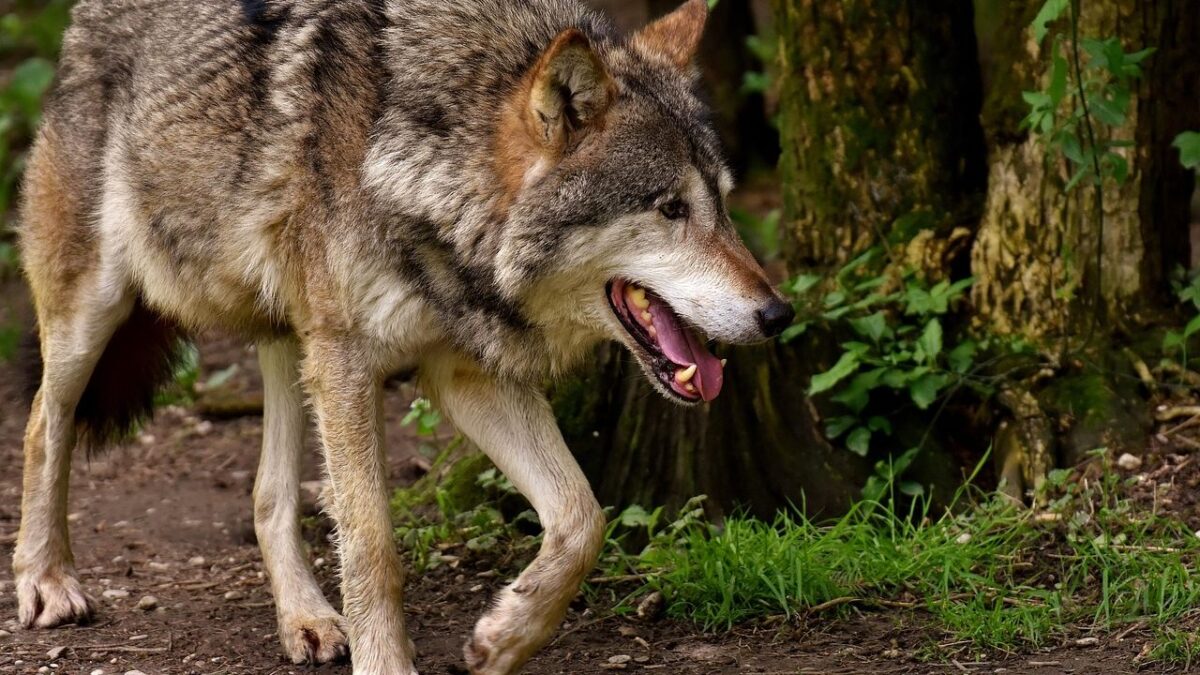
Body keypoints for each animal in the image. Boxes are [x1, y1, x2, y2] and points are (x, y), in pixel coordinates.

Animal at [12, 0, 794, 672]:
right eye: (670, 208)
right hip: (98, 308)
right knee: (43, 423)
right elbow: (373, 545)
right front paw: (388, 661)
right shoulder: (350, 362)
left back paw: (307, 619)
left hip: (291, 338)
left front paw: (504, 638)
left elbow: (582, 518)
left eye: (724, 204)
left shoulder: (462, 373)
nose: (778, 314)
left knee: (269, 495)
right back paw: (46, 580)